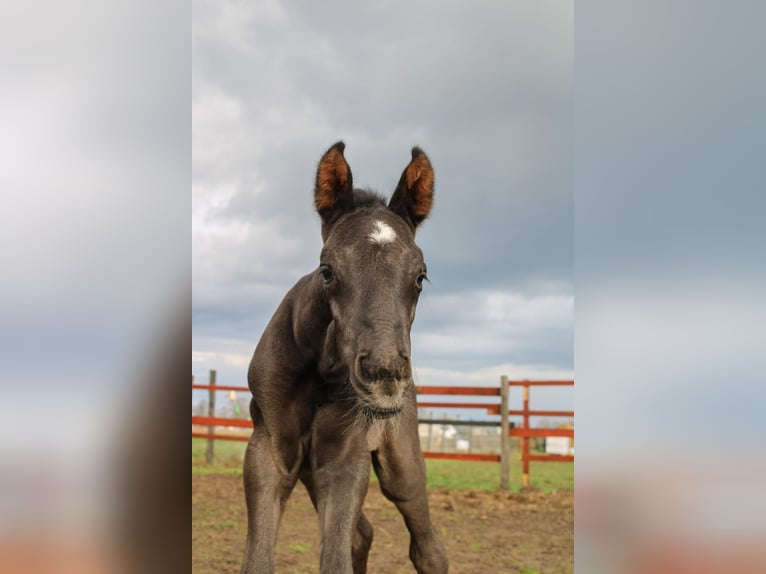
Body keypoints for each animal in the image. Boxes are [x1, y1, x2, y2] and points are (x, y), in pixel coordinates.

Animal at [240, 142, 450, 572]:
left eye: (420, 276)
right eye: (327, 270)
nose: (384, 375)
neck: (319, 372)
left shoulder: (346, 458)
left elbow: (336, 559)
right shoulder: (268, 451)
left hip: (401, 467)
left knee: (427, 549)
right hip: (309, 471)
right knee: (362, 534)